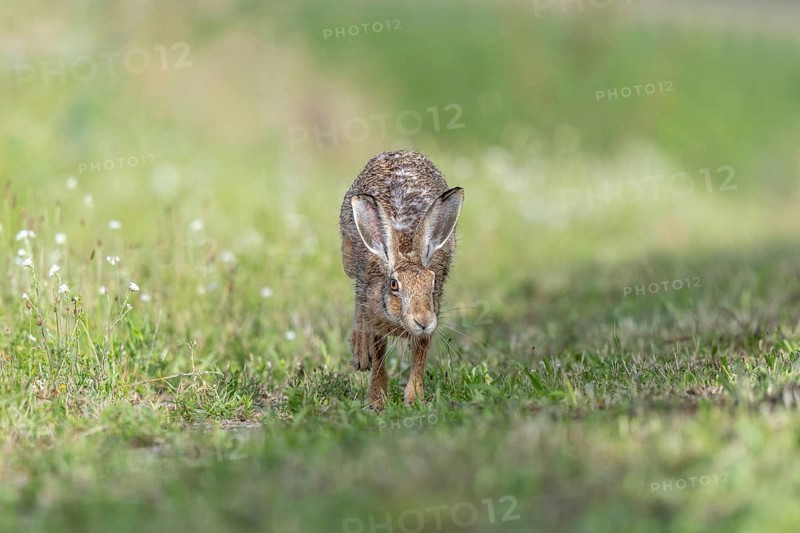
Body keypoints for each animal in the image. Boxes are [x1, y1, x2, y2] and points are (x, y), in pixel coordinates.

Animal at [339, 150, 464, 409]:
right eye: (394, 285)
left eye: (432, 283)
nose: (422, 320)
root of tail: (400, 152)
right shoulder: (375, 316)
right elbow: (379, 356)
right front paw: (377, 401)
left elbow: (419, 357)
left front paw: (414, 399)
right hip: (349, 259)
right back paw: (360, 352)